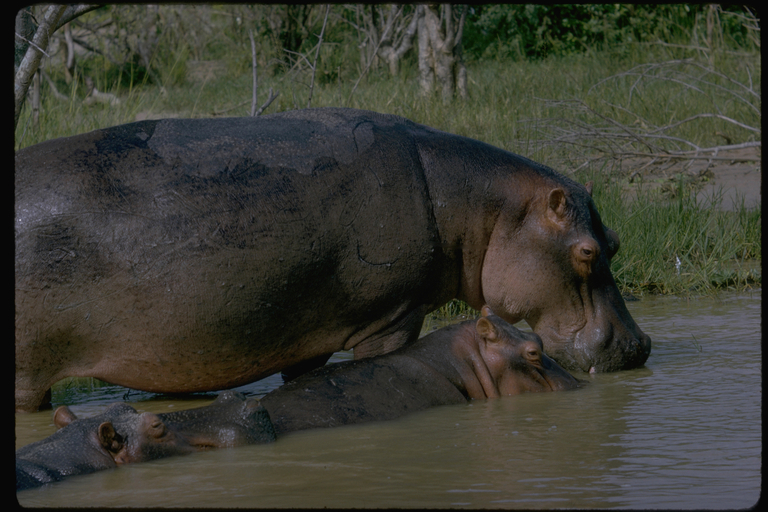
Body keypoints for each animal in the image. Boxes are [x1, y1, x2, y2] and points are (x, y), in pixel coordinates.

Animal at [13, 108, 648, 412]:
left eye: (616, 239)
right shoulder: (392, 316)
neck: (478, 208)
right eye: (588, 251)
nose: (640, 344)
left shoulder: (307, 335)